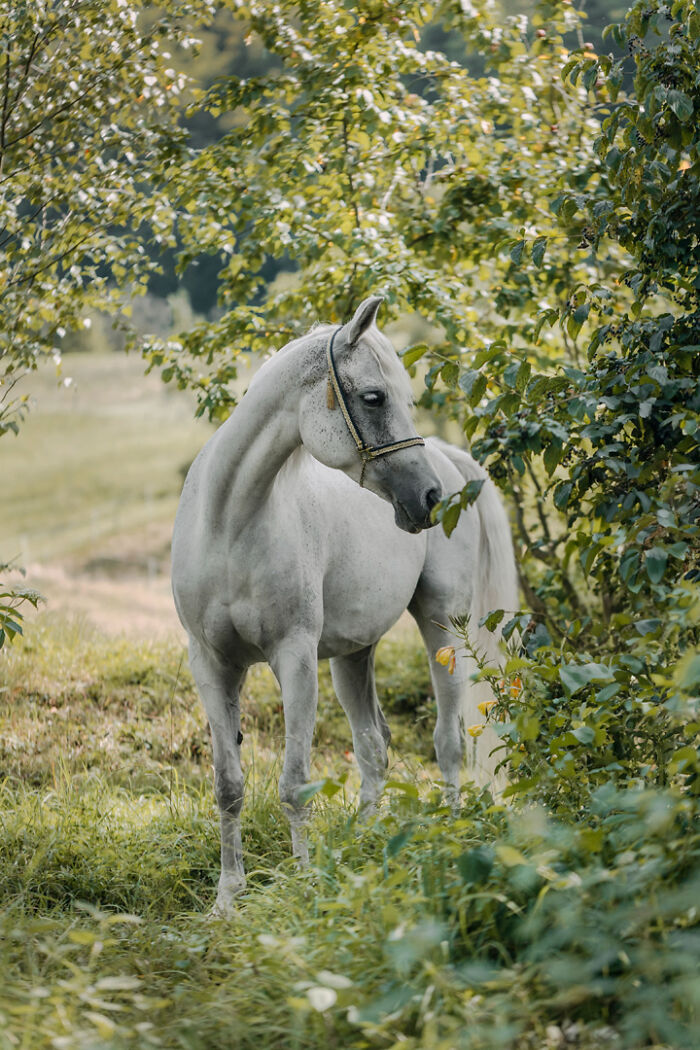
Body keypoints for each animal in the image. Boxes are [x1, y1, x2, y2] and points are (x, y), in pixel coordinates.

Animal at [172, 295, 517, 916]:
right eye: (374, 398)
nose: (429, 499)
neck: (230, 525)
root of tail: (450, 462)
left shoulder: (295, 659)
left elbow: (294, 782)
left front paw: (304, 883)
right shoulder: (210, 664)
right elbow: (228, 785)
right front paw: (228, 898)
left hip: (442, 629)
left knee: (448, 742)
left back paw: (450, 835)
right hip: (353, 656)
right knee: (373, 748)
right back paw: (366, 840)